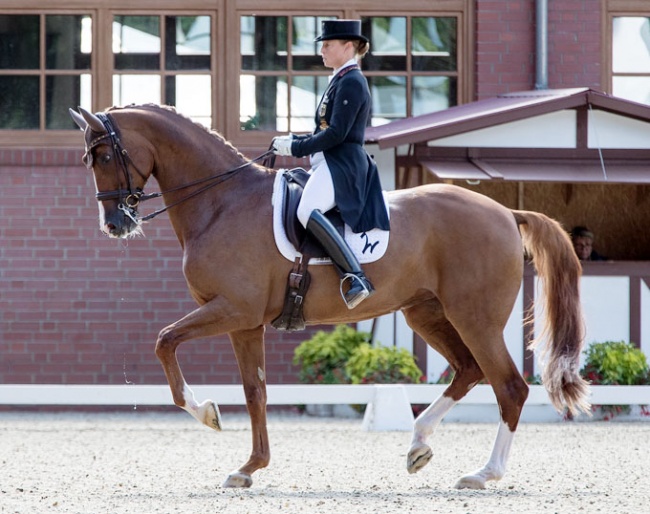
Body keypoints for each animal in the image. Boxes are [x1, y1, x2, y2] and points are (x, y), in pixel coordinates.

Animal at [69, 104, 588, 488]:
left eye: (103, 157)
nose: (114, 225)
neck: (221, 203)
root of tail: (505, 212)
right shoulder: (244, 322)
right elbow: (255, 390)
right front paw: (249, 467)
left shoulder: (230, 309)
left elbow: (165, 342)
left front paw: (208, 414)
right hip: (427, 313)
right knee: (468, 371)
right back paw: (418, 445)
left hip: (474, 317)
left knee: (509, 386)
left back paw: (483, 473)